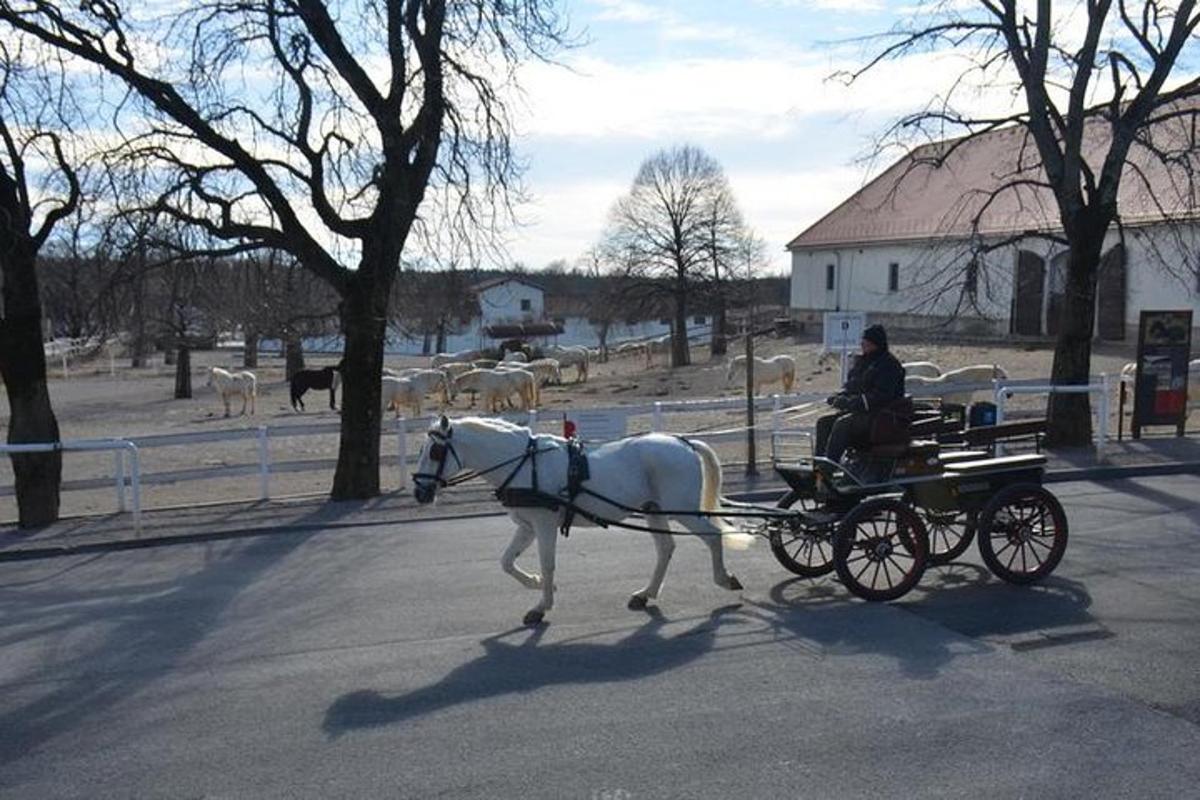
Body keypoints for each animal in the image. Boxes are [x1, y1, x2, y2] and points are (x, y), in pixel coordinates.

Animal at [412, 417, 748, 628]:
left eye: (436, 451)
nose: (419, 492)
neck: (524, 463)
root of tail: (685, 443)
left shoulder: (544, 524)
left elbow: (548, 563)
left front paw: (540, 606)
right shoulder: (527, 526)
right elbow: (506, 561)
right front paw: (536, 583)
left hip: (681, 509)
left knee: (712, 536)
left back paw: (725, 578)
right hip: (653, 509)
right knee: (666, 548)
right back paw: (646, 594)